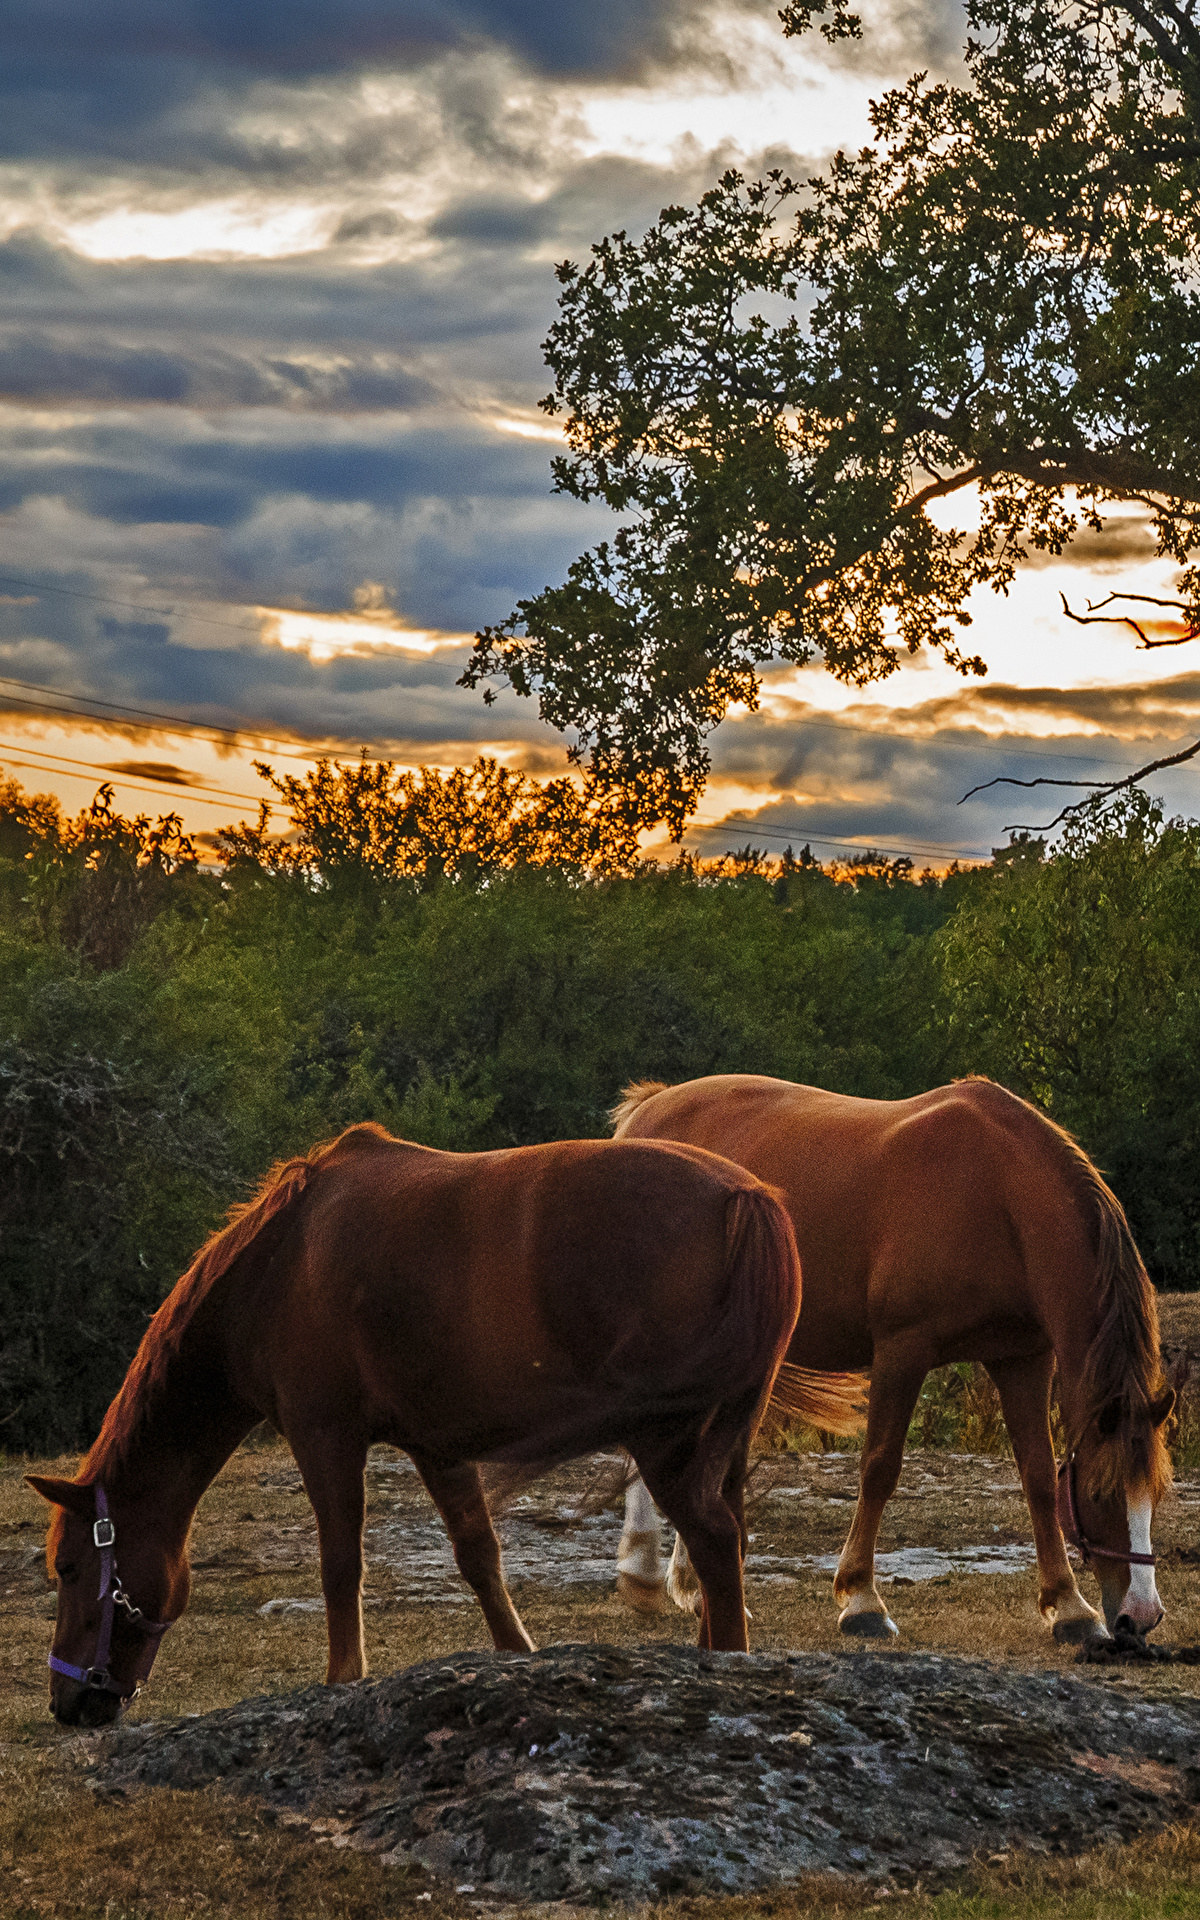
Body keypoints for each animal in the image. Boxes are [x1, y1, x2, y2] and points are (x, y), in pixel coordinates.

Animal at [28, 1113, 817, 1728]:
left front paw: (342, 1678)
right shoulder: (439, 1447)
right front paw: (517, 1657)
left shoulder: (326, 1438)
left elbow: (340, 1564)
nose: (68, 1706)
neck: (280, 1262)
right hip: (722, 1442)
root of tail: (746, 1197)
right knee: (726, 1539)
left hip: (667, 1444)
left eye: (69, 1567)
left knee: (714, 1540)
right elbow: (479, 1558)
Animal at [606, 1075, 1167, 1643]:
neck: (998, 1195)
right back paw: (644, 1574)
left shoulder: (1023, 1359)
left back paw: (695, 1587)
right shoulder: (903, 1350)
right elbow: (880, 1467)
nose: (1140, 1617)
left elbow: (1038, 1477)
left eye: (1156, 1493)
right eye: (1098, 1493)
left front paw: (1070, 1606)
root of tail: (648, 1107)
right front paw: (861, 1599)